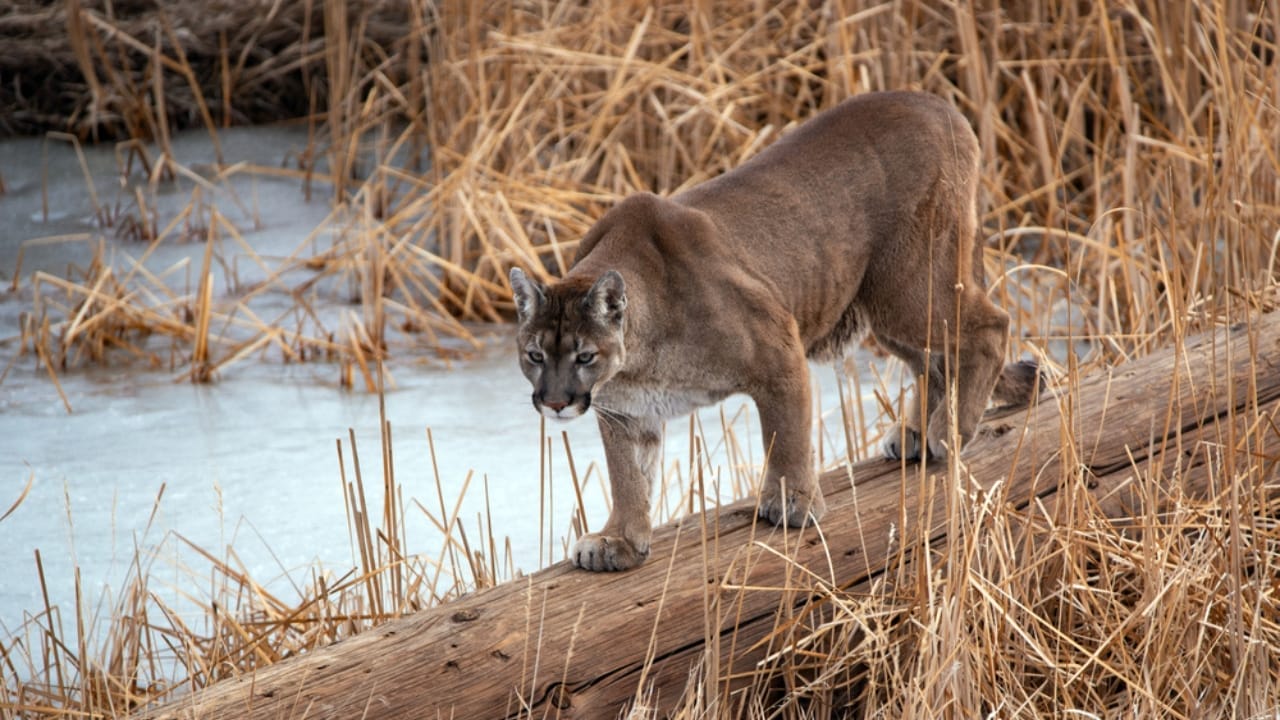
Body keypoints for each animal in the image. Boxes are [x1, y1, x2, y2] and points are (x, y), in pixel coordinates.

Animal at [509, 91, 1039, 572]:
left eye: (584, 356)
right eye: (535, 356)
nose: (555, 402)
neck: (637, 361)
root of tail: (938, 102)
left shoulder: (778, 348)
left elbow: (785, 436)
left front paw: (793, 503)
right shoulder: (626, 412)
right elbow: (627, 477)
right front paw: (617, 540)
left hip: (909, 286)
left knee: (991, 327)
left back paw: (948, 431)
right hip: (884, 308)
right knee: (935, 357)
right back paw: (915, 432)